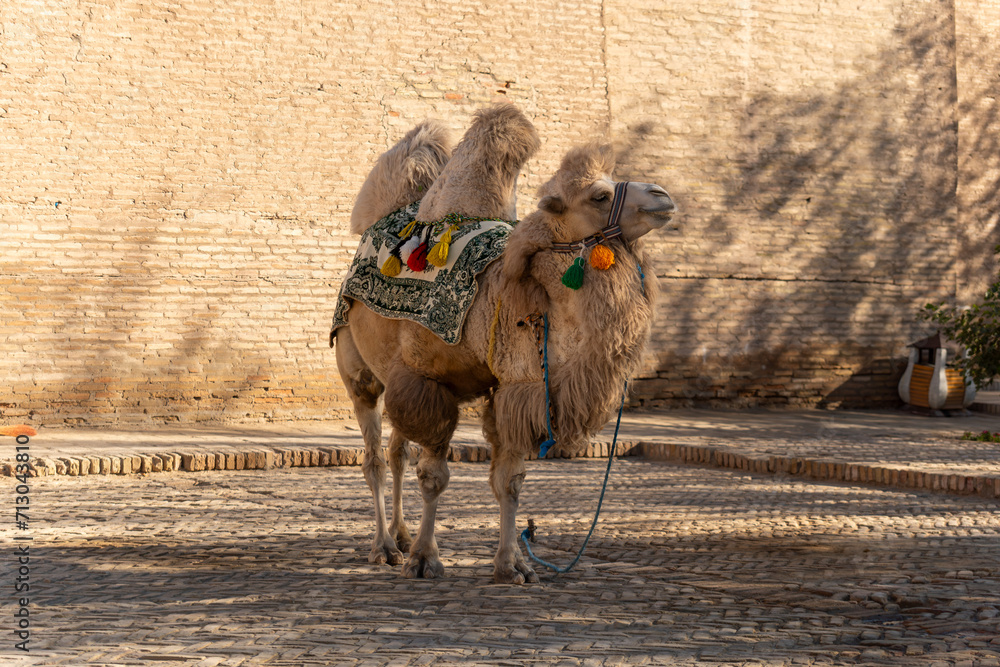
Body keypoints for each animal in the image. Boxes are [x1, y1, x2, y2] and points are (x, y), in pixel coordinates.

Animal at [334, 105, 678, 583]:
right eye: (599, 196)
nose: (663, 195)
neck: (509, 293)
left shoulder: (515, 388)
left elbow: (508, 482)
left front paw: (513, 565)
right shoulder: (430, 380)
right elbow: (434, 477)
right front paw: (426, 559)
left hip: (397, 372)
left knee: (396, 450)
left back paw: (400, 538)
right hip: (359, 370)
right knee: (374, 458)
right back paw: (384, 547)